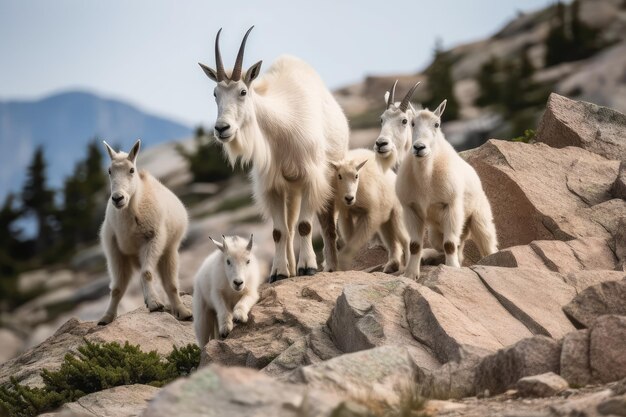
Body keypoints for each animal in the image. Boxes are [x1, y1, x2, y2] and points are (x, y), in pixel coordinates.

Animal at [97, 140, 190, 324]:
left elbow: (147, 273)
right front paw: (106, 317)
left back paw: (182, 311)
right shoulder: (115, 249)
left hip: (169, 250)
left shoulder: (153, 239)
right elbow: (117, 288)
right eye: (109, 171)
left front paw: (155, 304)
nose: (118, 198)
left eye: (131, 170)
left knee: (171, 284)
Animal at [197, 27, 348, 282]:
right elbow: (279, 231)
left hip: (328, 178)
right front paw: (278, 272)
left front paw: (308, 267)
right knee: (289, 226)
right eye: (215, 93)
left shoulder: (311, 178)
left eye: (243, 91)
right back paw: (290, 268)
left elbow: (305, 226)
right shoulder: (272, 186)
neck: (282, 127)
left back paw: (330, 266)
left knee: (326, 222)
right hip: (291, 190)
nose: (222, 128)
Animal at [398, 99, 494, 278]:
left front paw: (452, 269)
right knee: (453, 246)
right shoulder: (411, 209)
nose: (419, 147)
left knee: (486, 243)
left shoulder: (451, 205)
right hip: (435, 232)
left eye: (437, 124)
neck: (426, 177)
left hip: (479, 218)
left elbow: (449, 243)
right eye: (412, 123)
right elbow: (414, 245)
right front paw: (410, 274)